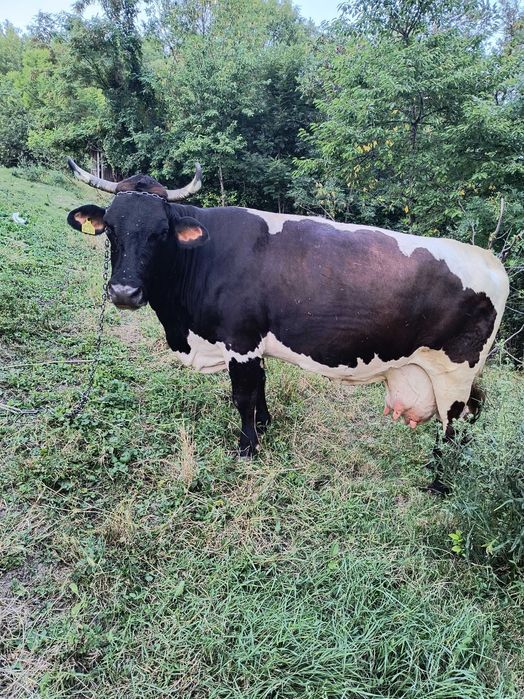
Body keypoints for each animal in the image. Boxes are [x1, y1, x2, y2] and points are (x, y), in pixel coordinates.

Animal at [66, 158, 509, 491]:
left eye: (160, 233)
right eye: (111, 229)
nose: (124, 292)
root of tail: (489, 259)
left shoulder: (240, 339)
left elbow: (242, 395)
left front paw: (247, 448)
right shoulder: (254, 342)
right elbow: (261, 384)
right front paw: (264, 426)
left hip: (454, 371)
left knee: (454, 423)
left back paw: (438, 482)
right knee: (473, 411)